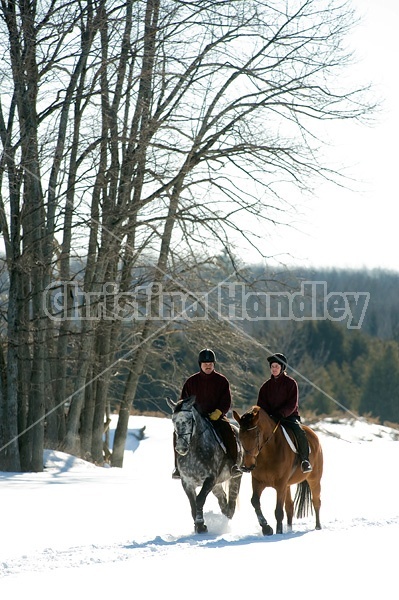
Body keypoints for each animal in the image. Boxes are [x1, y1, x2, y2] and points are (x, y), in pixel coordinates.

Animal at [166, 396, 242, 532]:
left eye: (189, 421)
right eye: (173, 421)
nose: (180, 448)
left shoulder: (210, 479)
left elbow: (199, 499)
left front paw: (201, 525)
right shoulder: (187, 482)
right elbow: (193, 504)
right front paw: (198, 525)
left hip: (234, 478)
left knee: (232, 499)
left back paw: (226, 521)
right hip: (216, 485)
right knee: (222, 498)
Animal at [233, 406, 324, 536]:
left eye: (256, 435)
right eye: (240, 437)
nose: (248, 465)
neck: (268, 452)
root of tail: (313, 434)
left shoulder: (280, 485)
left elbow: (278, 511)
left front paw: (278, 532)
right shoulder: (257, 482)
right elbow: (255, 501)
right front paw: (266, 528)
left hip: (314, 479)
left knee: (316, 501)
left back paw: (318, 527)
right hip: (288, 485)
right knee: (290, 506)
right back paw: (290, 530)